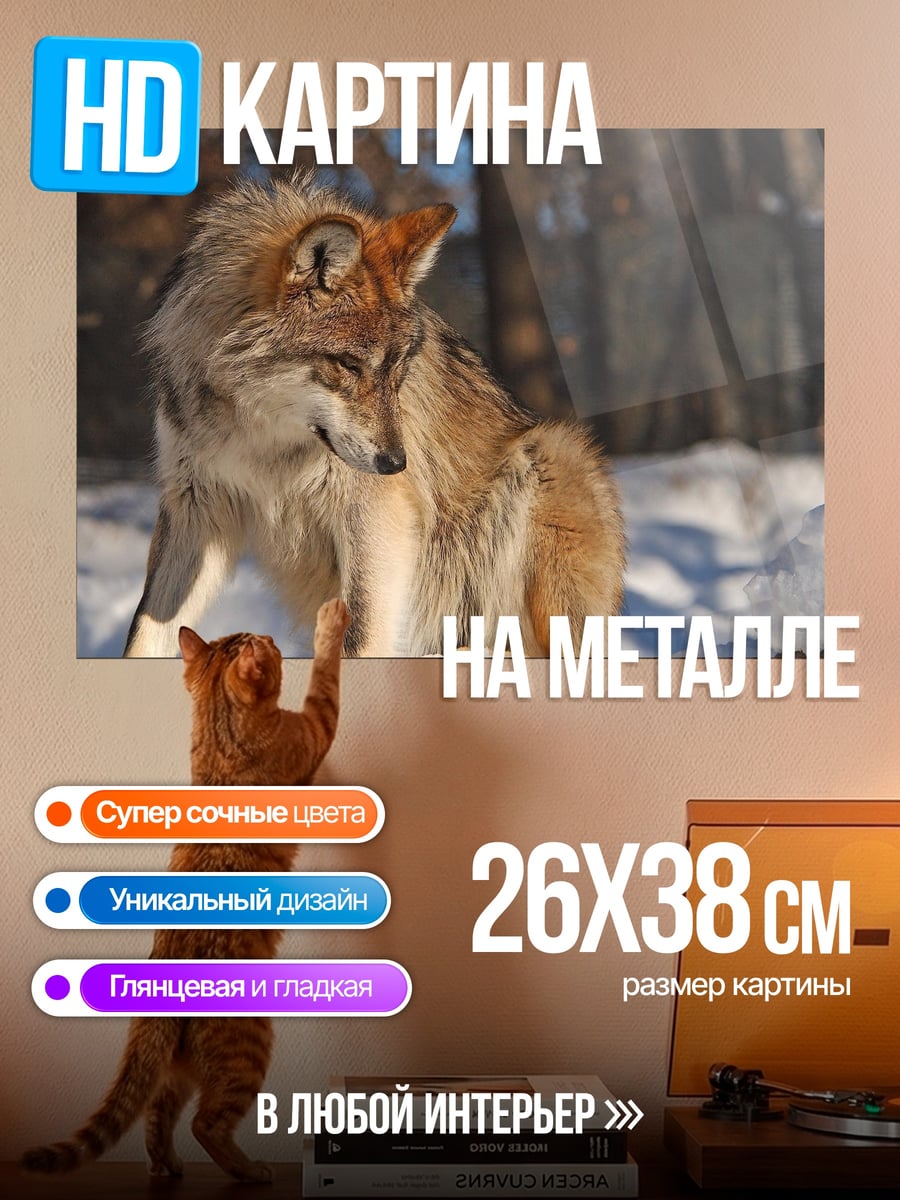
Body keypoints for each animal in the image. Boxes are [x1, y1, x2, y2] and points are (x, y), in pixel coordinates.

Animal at [124, 173, 625, 657]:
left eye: (398, 365)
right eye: (348, 364)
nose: (396, 464)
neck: (261, 435)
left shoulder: (374, 517)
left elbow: (360, 638)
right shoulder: (195, 508)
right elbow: (144, 631)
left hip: (548, 460)